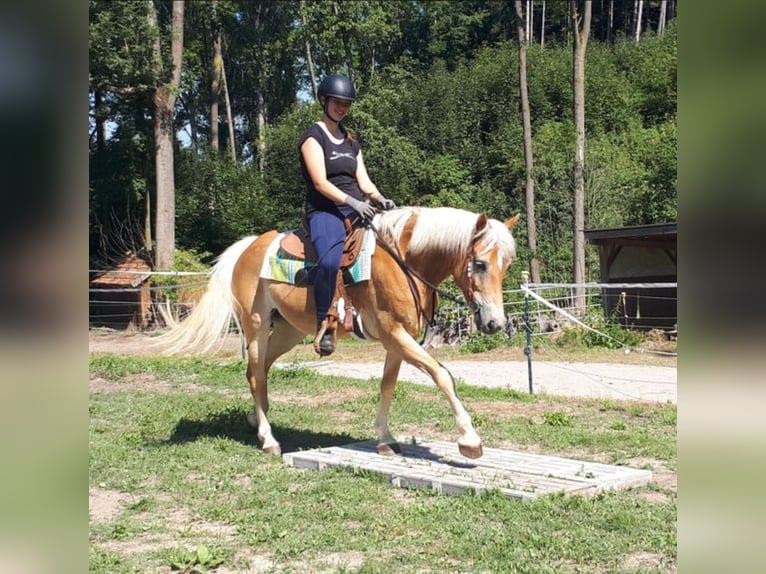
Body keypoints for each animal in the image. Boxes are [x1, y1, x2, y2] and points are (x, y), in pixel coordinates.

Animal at [160, 207, 524, 460]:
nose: (494, 323)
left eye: (506, 265)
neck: (403, 262)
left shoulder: (397, 339)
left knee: (259, 371)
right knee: (255, 374)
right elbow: (442, 374)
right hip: (256, 326)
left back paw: (255, 420)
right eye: (480, 264)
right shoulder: (394, 333)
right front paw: (469, 440)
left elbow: (387, 385)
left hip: (288, 332)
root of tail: (250, 246)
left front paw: (385, 439)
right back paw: (269, 440)